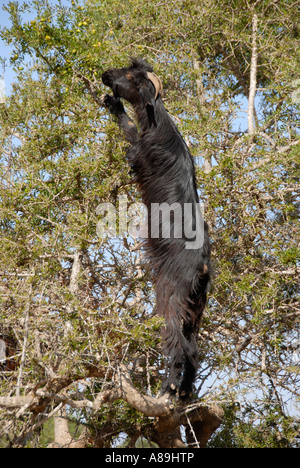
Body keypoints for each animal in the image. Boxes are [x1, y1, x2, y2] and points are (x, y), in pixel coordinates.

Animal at [102, 58, 210, 398]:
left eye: (129, 75)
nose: (105, 75)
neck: (158, 124)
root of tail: (202, 267)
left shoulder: (139, 154)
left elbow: (129, 132)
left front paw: (115, 106)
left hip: (170, 294)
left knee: (177, 341)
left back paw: (168, 386)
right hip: (196, 307)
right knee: (193, 346)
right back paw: (184, 392)